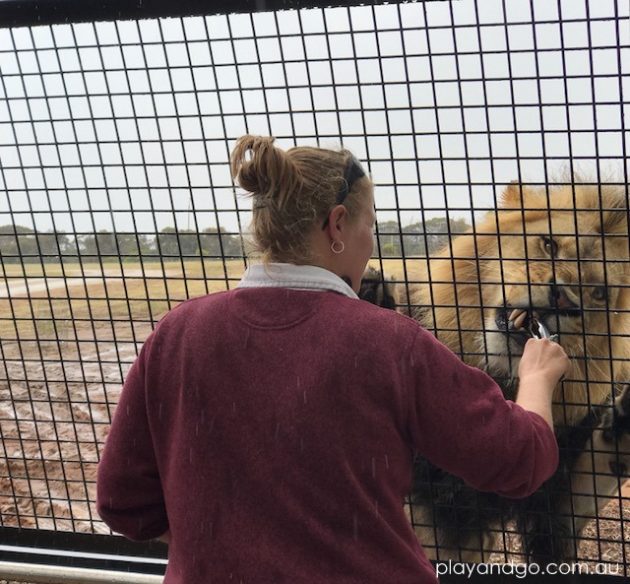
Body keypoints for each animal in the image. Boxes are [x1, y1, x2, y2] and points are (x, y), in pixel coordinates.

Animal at [360, 184, 630, 564]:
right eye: (549, 245)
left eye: (599, 293)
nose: (563, 300)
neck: (499, 374)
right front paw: (370, 299)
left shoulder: (559, 501)